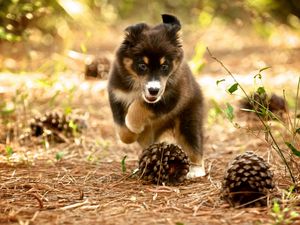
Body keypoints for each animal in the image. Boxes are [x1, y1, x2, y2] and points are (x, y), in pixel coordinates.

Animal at [106, 14, 205, 179]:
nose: (153, 90)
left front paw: (134, 125)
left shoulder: (171, 97)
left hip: (189, 120)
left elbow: (140, 106)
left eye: (164, 66)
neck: (137, 88)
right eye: (142, 65)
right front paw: (131, 135)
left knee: (193, 144)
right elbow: (122, 128)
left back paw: (195, 170)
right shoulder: (117, 95)